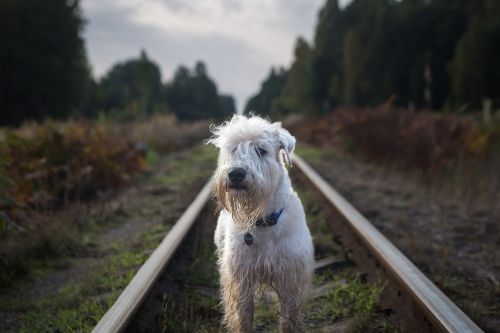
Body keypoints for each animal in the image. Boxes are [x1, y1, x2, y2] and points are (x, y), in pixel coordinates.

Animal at [207, 115, 312, 332]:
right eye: (233, 149)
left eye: (261, 150)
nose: (236, 174)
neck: (262, 221)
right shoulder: (241, 278)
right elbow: (244, 318)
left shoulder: (289, 279)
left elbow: (288, 319)